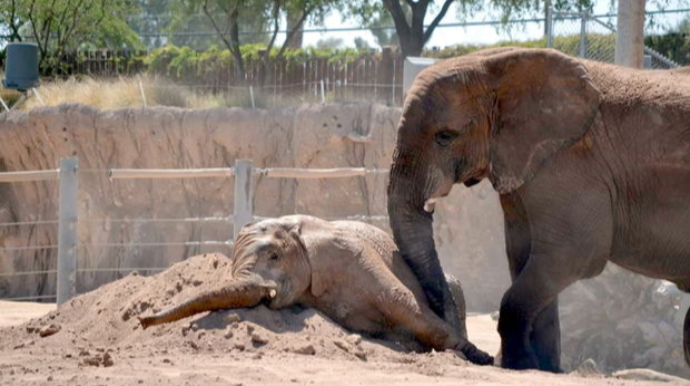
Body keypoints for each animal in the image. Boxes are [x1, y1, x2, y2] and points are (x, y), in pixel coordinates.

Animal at [136, 216, 490, 366]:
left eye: (274, 256)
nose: (142, 320)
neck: (293, 229)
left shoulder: (350, 255)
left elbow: (404, 302)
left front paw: (477, 355)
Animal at [384, 46, 688, 372]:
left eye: (445, 136)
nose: (481, 356)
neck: (497, 64)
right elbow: (522, 254)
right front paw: (543, 367)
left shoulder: (570, 164)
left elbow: (572, 254)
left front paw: (519, 364)